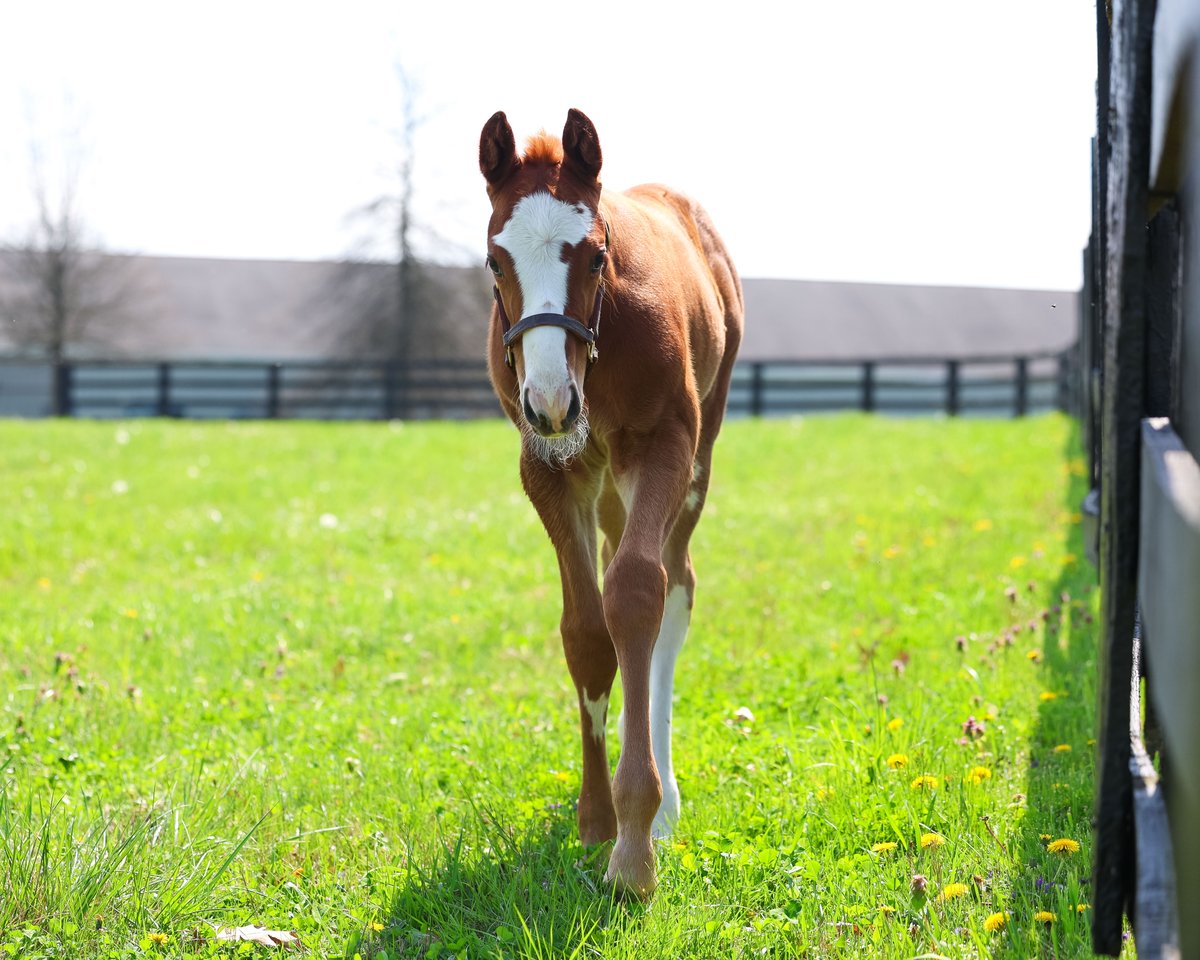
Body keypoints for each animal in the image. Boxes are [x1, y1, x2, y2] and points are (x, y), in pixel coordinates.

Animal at [477, 108, 739, 897]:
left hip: (694, 459)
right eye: (495, 261)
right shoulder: (550, 469)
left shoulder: (663, 445)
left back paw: (664, 804)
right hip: (603, 478)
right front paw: (597, 820)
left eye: (594, 256)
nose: (550, 400)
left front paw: (634, 847)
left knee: (675, 588)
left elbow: (637, 595)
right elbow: (588, 632)